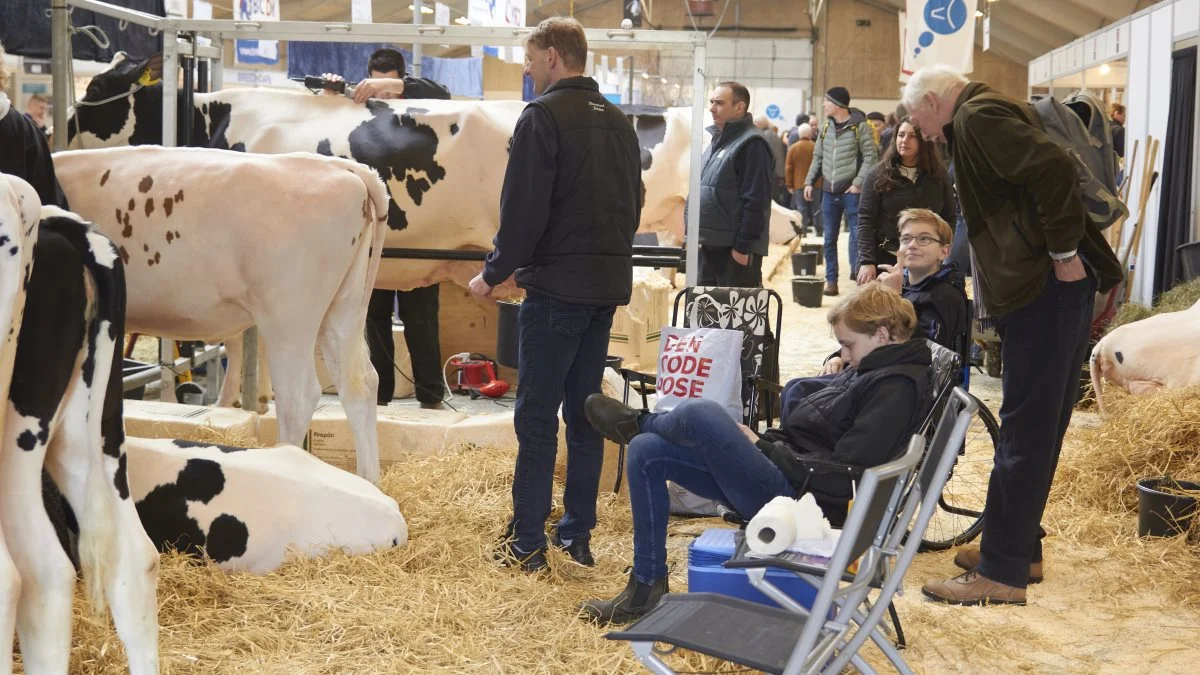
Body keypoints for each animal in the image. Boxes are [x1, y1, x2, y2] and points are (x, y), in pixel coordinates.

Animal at [54, 147, 386, 482]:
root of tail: (340, 167)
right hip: (344, 308)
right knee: (359, 384)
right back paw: (368, 482)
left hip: (288, 315)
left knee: (298, 396)